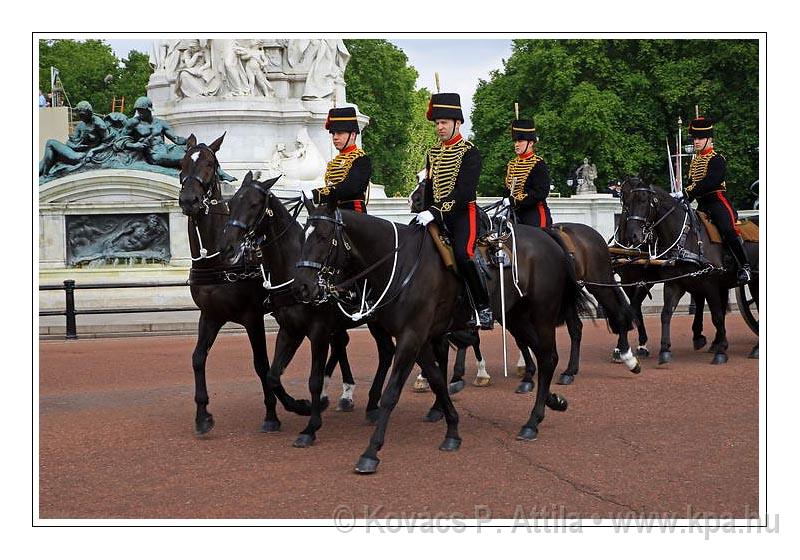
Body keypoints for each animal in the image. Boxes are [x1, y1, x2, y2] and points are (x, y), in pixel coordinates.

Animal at [219, 173, 396, 448]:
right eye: (231, 202)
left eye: (254, 204)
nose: (227, 247)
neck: (293, 267)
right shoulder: (290, 330)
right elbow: (273, 375)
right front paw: (299, 406)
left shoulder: (318, 331)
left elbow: (314, 380)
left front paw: (311, 426)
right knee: (374, 349)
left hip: (377, 319)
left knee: (388, 351)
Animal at [290, 203, 592, 474]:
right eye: (304, 233)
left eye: (322, 236)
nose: (302, 287)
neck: (399, 264)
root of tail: (547, 236)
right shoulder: (418, 338)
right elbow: (436, 380)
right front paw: (452, 430)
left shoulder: (411, 337)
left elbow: (391, 393)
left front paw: (370, 452)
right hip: (516, 316)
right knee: (545, 356)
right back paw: (551, 401)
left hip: (542, 315)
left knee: (548, 356)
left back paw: (532, 421)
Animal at [616, 178, 760, 364]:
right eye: (626, 202)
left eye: (642, 200)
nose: (633, 236)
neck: (684, 237)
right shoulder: (674, 283)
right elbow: (665, 313)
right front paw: (664, 350)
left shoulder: (710, 283)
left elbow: (717, 316)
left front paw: (721, 352)